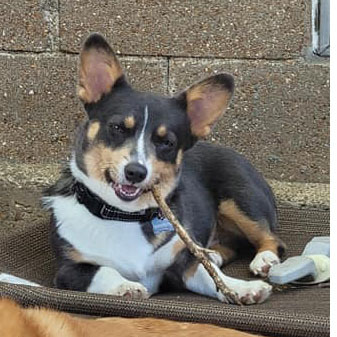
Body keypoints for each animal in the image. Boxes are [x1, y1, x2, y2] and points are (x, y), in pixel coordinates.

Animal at [42, 32, 284, 304]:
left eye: (166, 142)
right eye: (117, 128)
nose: (136, 172)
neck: (123, 215)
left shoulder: (183, 265)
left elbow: (212, 277)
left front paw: (242, 288)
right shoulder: (69, 270)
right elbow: (104, 270)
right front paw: (126, 286)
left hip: (240, 200)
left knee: (271, 239)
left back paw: (264, 259)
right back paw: (214, 253)